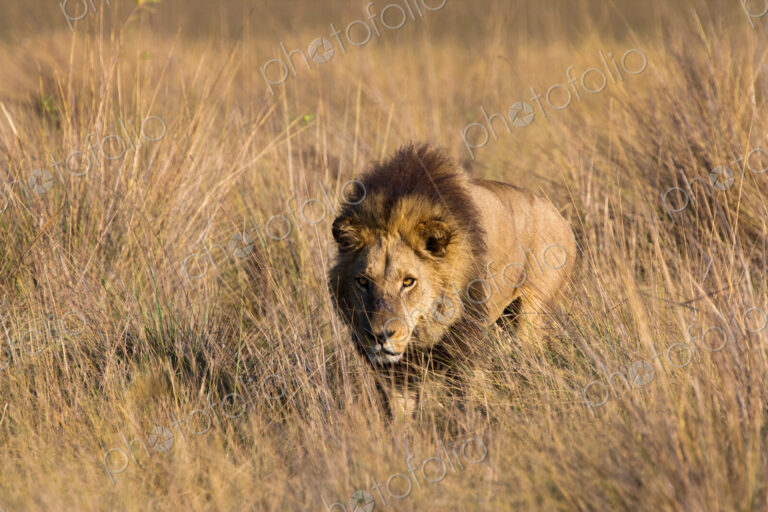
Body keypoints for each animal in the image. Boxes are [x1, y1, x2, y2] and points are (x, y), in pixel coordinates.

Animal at [328, 143, 576, 417]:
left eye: (408, 282)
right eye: (362, 281)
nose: (380, 336)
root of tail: (556, 212)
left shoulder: (466, 349)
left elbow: (472, 402)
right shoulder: (393, 374)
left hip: (531, 319)